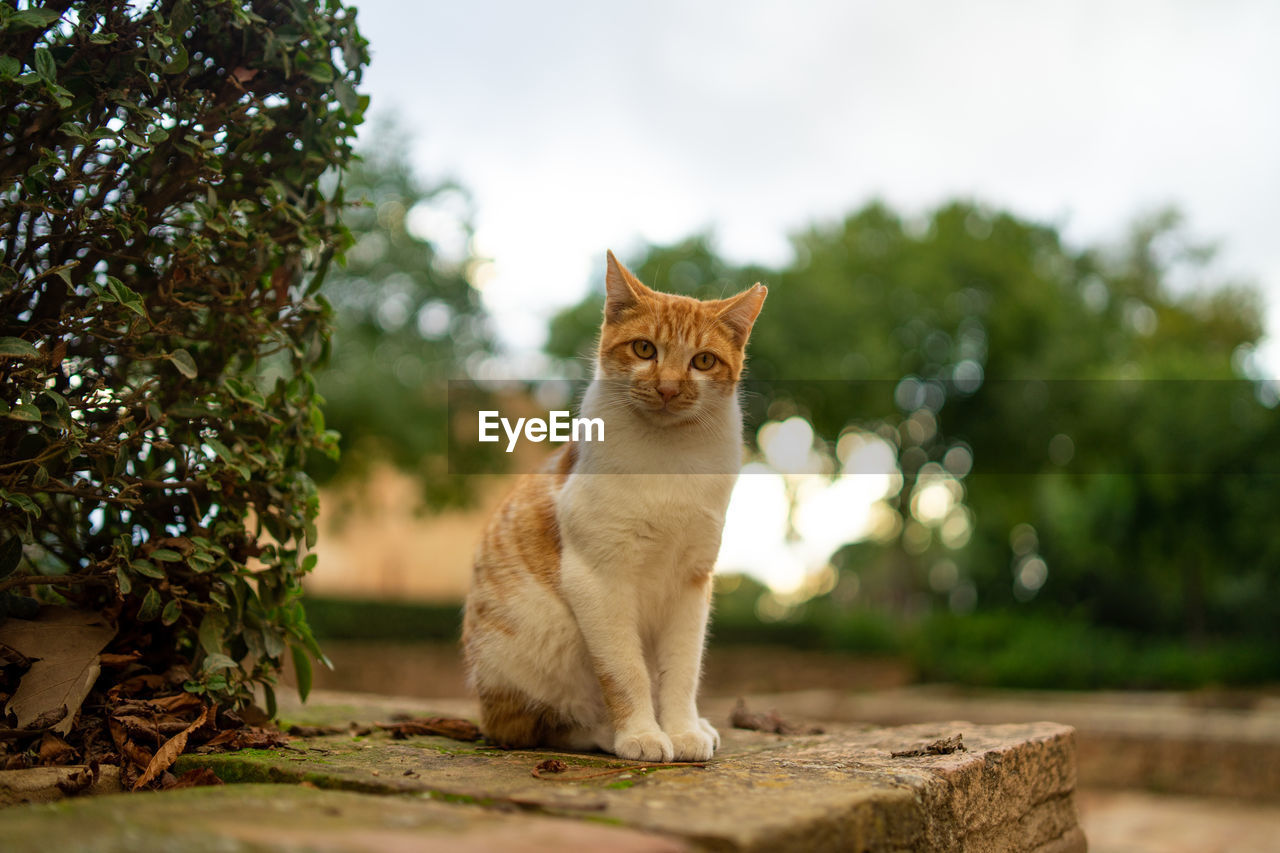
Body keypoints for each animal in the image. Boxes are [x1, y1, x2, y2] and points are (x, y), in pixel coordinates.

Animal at [460, 247, 762, 758]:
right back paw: (601, 732)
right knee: (537, 725)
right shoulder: (600, 581)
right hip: (540, 647)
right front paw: (641, 735)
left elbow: (682, 672)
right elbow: (626, 671)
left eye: (703, 361)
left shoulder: (692, 583)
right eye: (644, 350)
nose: (667, 388)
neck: (668, 459)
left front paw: (682, 731)